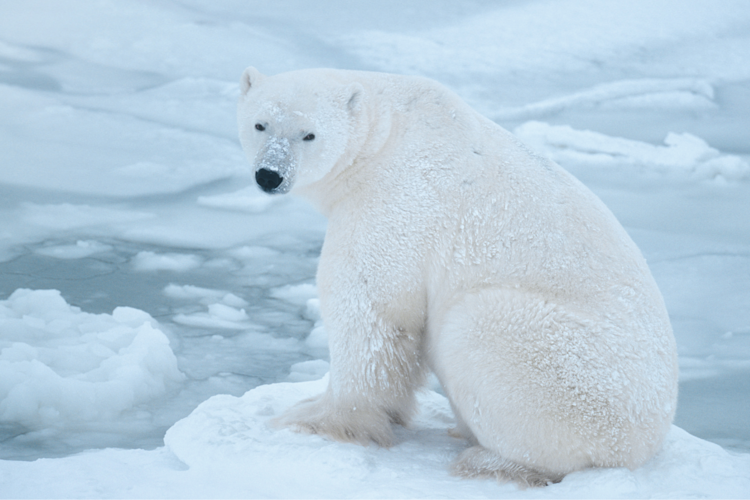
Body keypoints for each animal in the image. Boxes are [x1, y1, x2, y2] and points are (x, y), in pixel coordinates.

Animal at [236, 67, 679, 487]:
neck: (386, 134)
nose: (269, 175)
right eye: (260, 124)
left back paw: (491, 460)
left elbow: (369, 309)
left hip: (572, 378)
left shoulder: (398, 201)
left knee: (475, 328)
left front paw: (316, 418)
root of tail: (645, 446)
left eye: (309, 134)